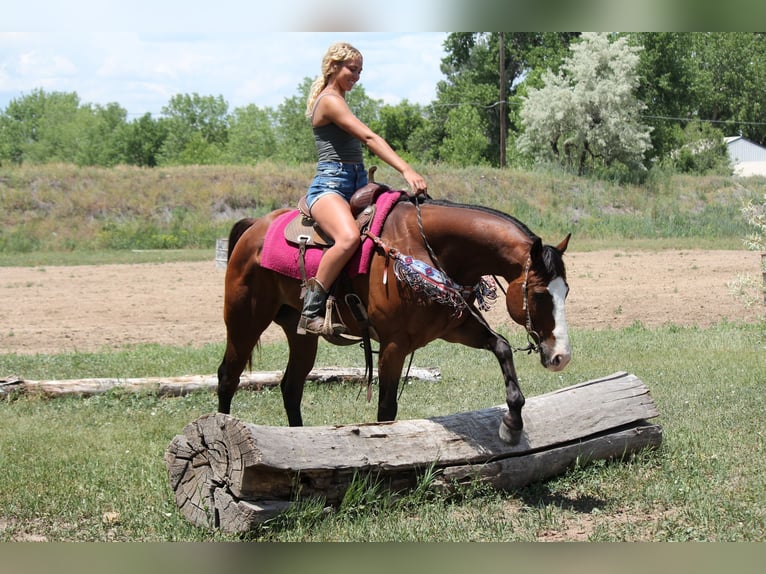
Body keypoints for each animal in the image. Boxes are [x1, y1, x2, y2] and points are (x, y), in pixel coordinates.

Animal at [216, 192, 571, 445]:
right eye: (540, 294)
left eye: (566, 291)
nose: (561, 356)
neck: (427, 250)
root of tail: (254, 227)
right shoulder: (393, 344)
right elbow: (386, 410)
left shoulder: (456, 327)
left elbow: (502, 347)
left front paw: (512, 425)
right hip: (244, 320)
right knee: (228, 377)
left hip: (301, 333)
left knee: (291, 387)